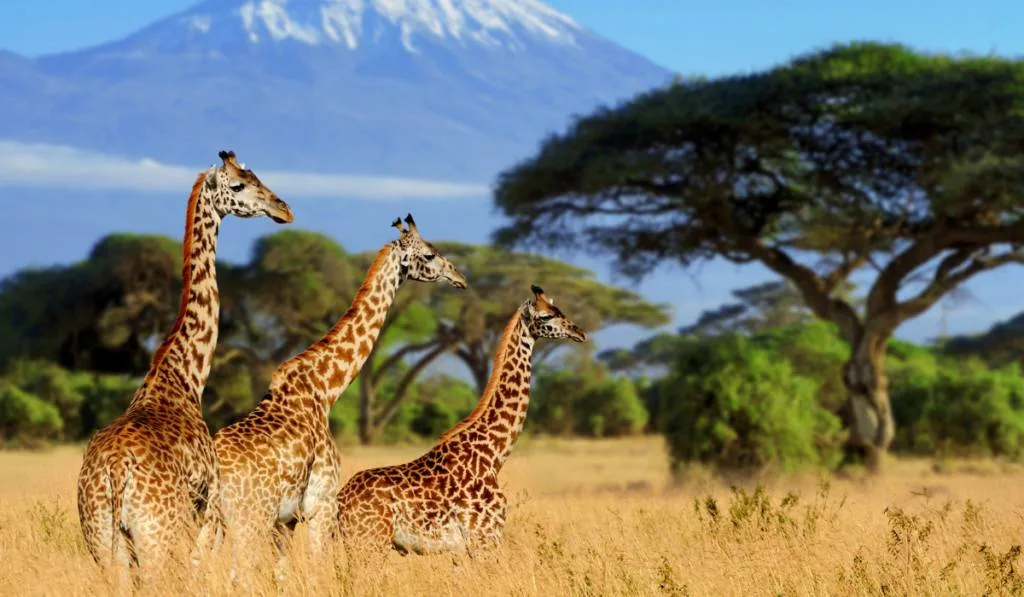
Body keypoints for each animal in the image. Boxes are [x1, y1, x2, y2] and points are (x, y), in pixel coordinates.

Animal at [74, 149, 292, 577]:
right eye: (239, 185)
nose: (284, 209)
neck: (184, 376)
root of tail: (114, 472)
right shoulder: (207, 511)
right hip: (157, 536)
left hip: (103, 541)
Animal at [211, 215, 468, 569]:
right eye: (429, 254)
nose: (460, 278)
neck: (325, 388)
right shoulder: (321, 505)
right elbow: (318, 568)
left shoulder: (287, 520)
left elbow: (282, 571)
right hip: (249, 518)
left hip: (211, 521)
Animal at [337, 284, 589, 557]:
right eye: (545, 316)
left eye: (559, 310)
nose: (580, 332)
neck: (493, 455)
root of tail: (339, 502)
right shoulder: (485, 539)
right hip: (368, 542)